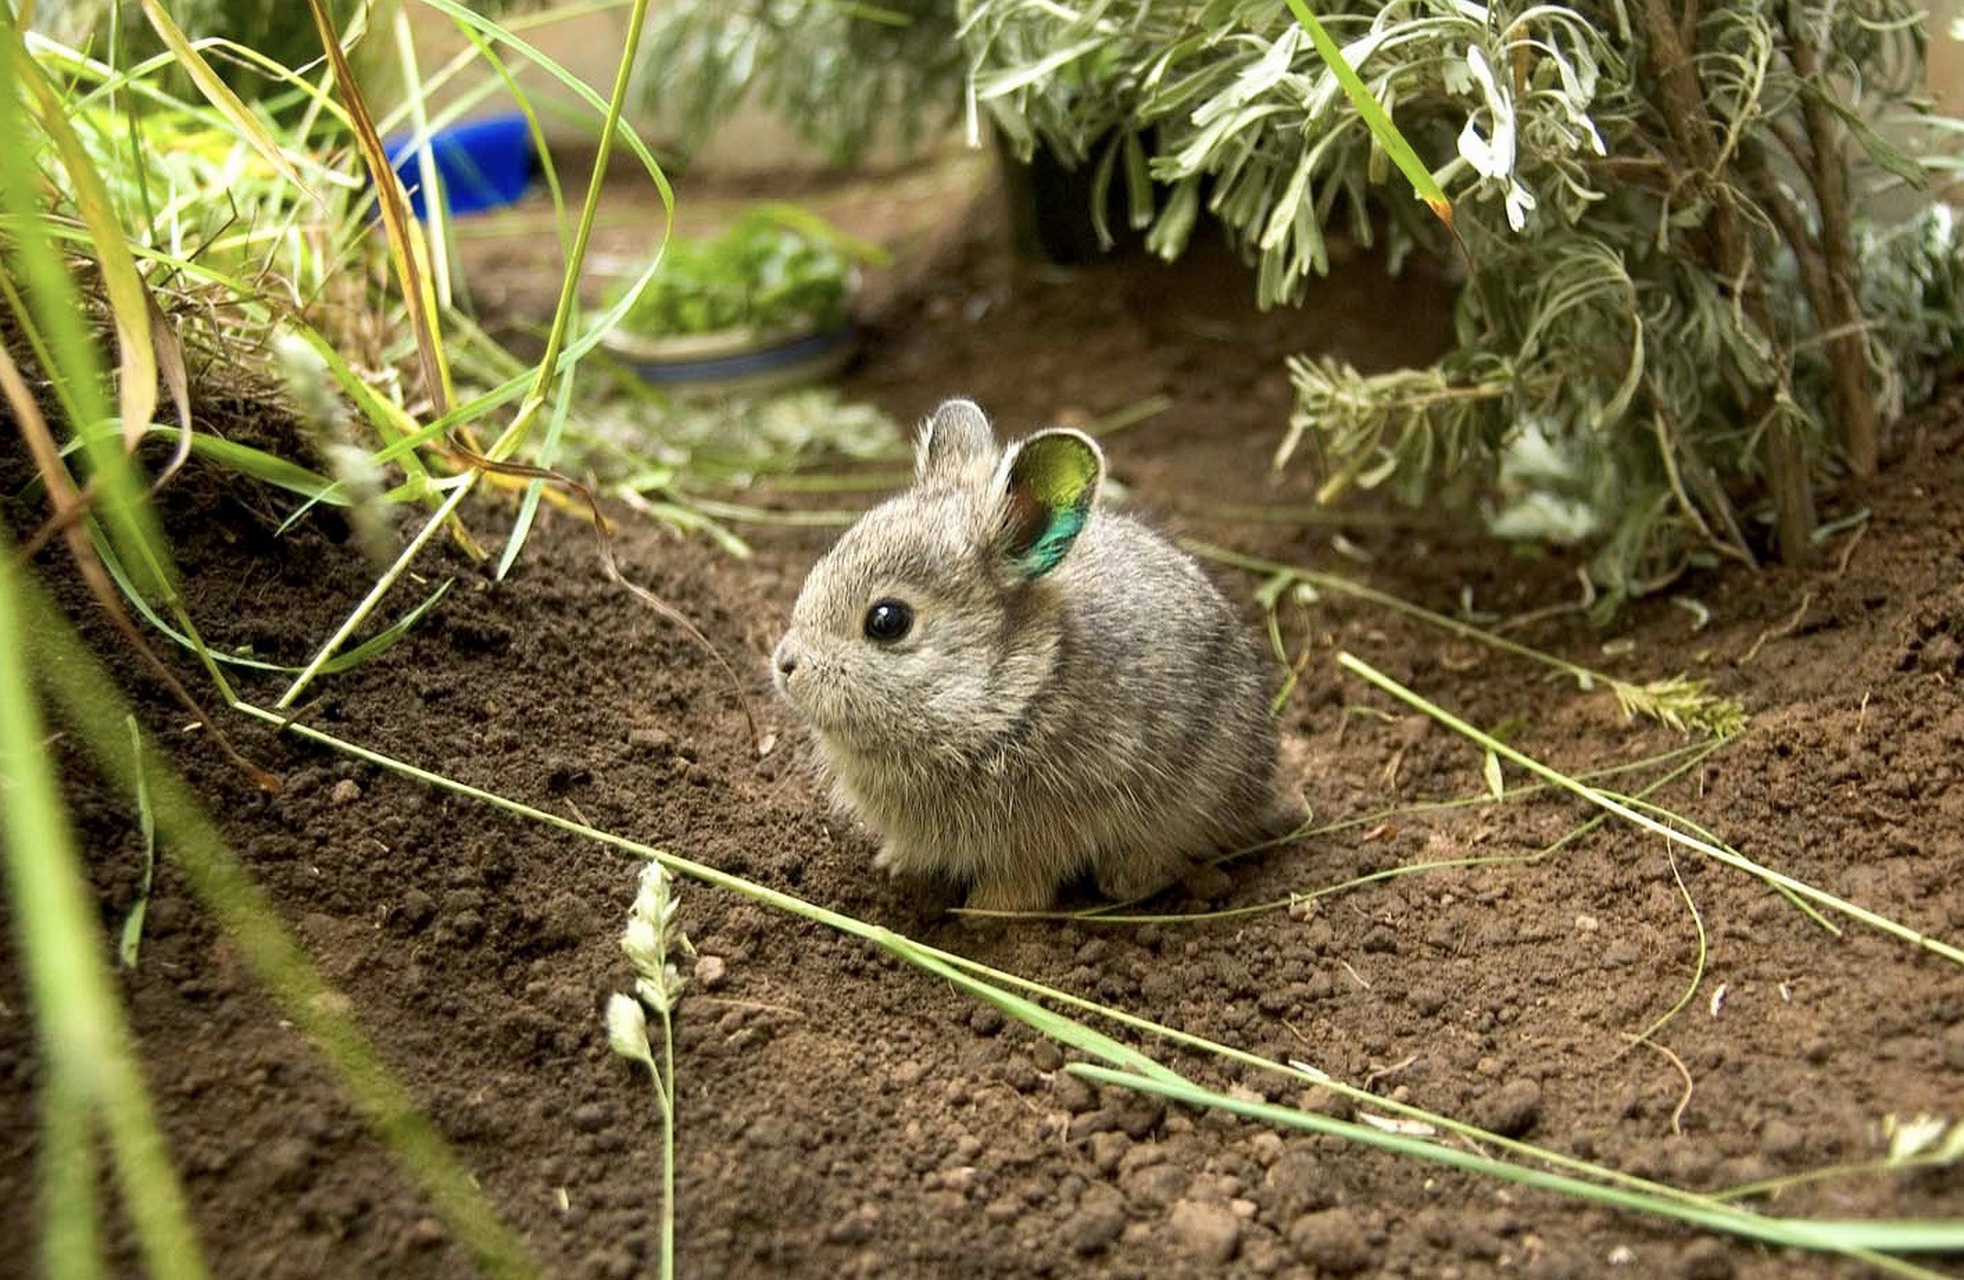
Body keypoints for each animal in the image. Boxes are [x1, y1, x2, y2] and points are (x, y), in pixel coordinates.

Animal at [773, 400, 1280, 910]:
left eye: (887, 620)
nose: (785, 665)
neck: (1011, 694)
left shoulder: (1050, 829)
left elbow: (1023, 878)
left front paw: (986, 911)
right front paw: (897, 866)